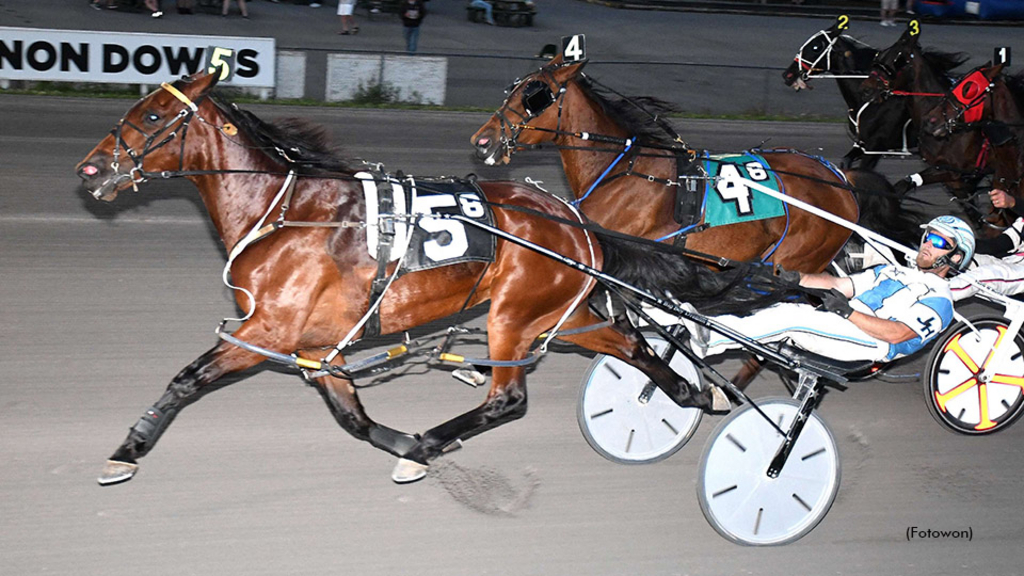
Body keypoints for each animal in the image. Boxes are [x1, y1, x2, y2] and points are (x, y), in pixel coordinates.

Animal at [77, 70, 753, 483]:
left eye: (155, 115)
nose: (90, 170)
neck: (285, 210)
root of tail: (572, 218)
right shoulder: (317, 345)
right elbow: (352, 417)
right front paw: (403, 445)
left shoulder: (267, 330)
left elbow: (186, 379)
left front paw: (127, 452)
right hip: (563, 314)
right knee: (632, 344)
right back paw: (695, 392)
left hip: (512, 313)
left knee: (508, 398)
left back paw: (434, 439)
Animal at [468, 54, 917, 385]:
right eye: (515, 88)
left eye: (535, 94)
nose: (482, 141)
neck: (625, 171)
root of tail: (842, 179)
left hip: (800, 259)